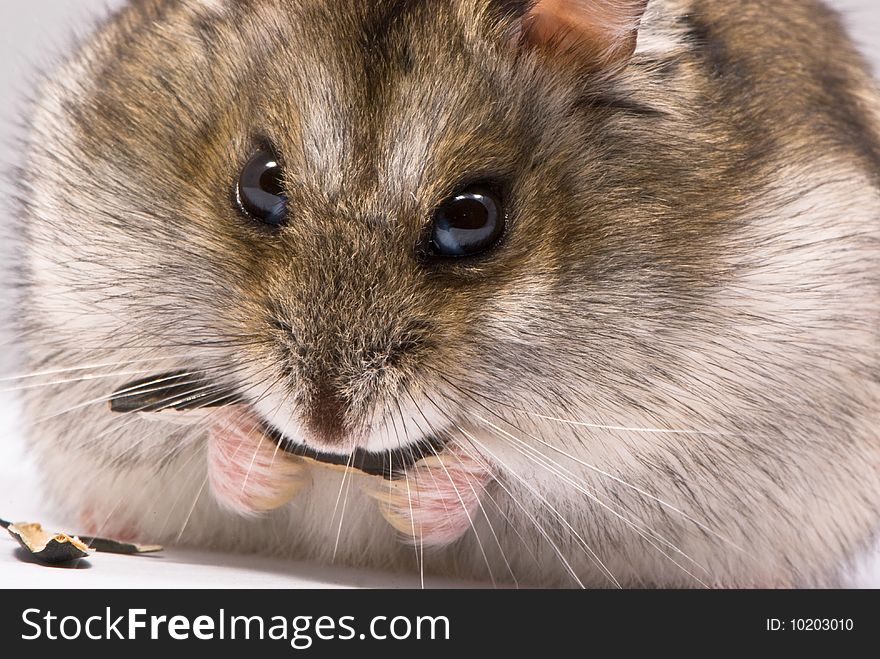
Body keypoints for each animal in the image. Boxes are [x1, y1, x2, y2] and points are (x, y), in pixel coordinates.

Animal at [10, 0, 880, 588]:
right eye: (259, 183)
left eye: (473, 218)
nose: (325, 431)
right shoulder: (87, 321)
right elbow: (212, 448)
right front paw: (260, 460)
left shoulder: (660, 431)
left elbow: (489, 472)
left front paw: (423, 490)